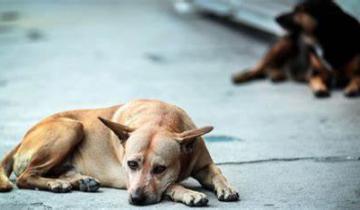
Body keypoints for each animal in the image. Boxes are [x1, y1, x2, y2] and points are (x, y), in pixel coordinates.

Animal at [0, 99, 239, 206]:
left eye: (160, 168)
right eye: (131, 164)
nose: (136, 198)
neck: (161, 119)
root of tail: (22, 139)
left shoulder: (204, 164)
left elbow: (217, 173)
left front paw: (226, 187)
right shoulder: (128, 178)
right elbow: (172, 185)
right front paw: (187, 192)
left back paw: (79, 181)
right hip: (72, 127)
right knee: (25, 177)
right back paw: (55, 184)